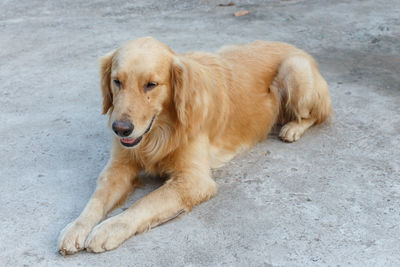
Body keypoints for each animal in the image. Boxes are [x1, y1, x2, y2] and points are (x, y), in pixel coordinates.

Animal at [57, 36, 332, 254]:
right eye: (117, 81)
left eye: (151, 85)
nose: (120, 129)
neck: (159, 132)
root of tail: (296, 48)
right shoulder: (119, 166)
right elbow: (96, 200)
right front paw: (76, 227)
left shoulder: (193, 180)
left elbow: (145, 203)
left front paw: (109, 228)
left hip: (296, 70)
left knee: (317, 115)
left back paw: (293, 128)